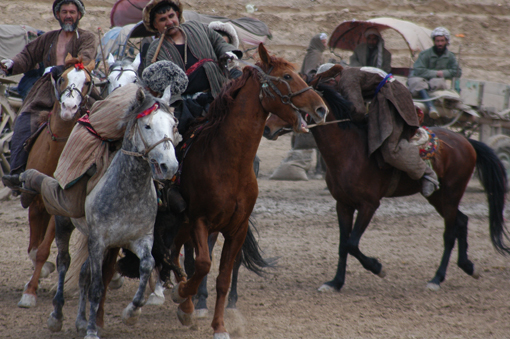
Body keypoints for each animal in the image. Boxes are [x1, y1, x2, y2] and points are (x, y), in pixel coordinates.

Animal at [16, 55, 95, 308]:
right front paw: (39, 276)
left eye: (87, 82)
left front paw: (30, 291)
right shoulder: (34, 201)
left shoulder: (58, 209)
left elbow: (42, 250)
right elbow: (33, 249)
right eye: (62, 78)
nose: (69, 108)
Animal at [167, 43, 326, 338]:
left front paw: (219, 326)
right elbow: (203, 264)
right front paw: (183, 296)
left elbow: (223, 278)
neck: (229, 162)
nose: (321, 108)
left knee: (174, 252)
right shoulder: (199, 220)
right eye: (287, 77)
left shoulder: (236, 229)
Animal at [264, 67, 508, 294]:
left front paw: (377, 267)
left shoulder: (369, 205)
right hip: (439, 198)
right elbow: (343, 244)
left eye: (292, 101)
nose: (267, 128)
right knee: (462, 221)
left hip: (450, 195)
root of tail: (467, 142)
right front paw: (335, 282)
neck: (349, 150)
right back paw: (468, 266)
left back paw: (437, 279)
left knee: (450, 233)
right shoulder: (343, 204)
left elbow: (352, 243)